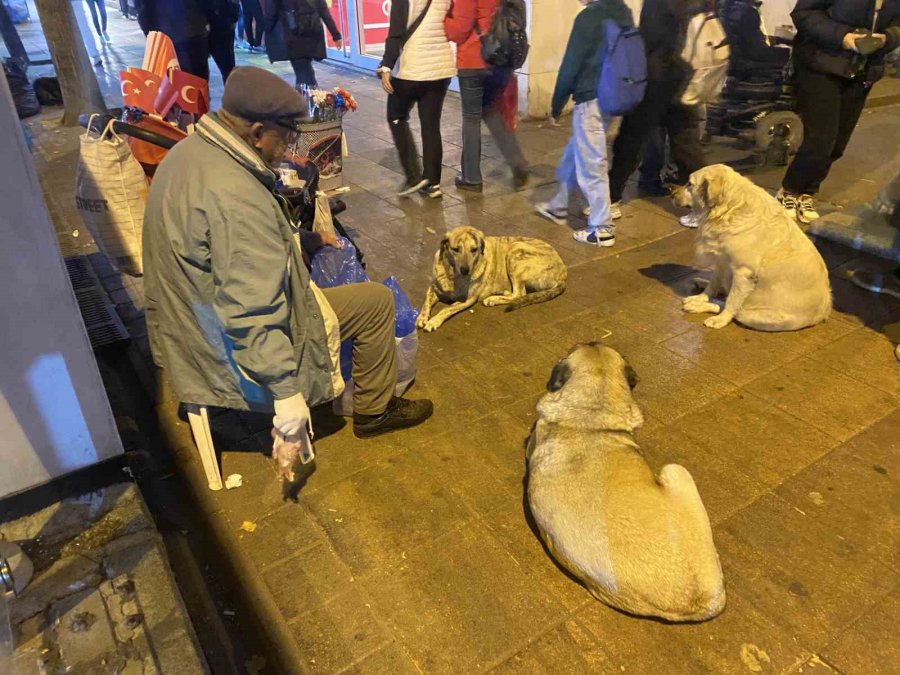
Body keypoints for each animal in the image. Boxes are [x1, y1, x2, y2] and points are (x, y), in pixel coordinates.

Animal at [416, 227, 568, 332]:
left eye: (474, 249)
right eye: (455, 249)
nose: (465, 270)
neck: (453, 274)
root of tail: (563, 274)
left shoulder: (467, 300)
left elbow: (446, 309)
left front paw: (434, 321)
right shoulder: (433, 289)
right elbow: (426, 303)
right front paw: (422, 318)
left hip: (515, 249)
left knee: (519, 293)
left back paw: (493, 299)